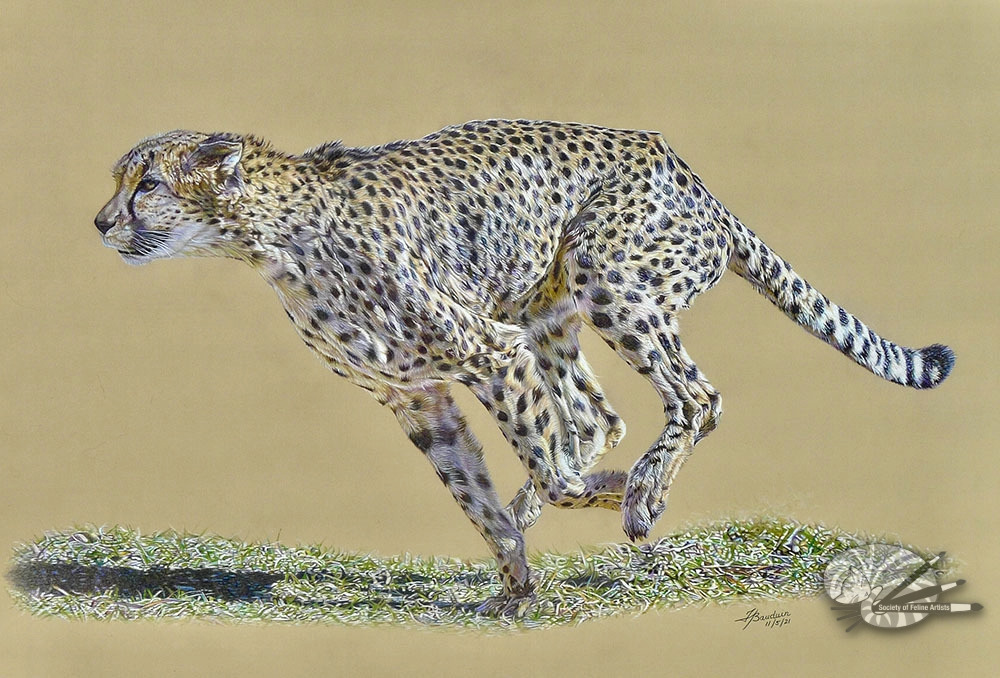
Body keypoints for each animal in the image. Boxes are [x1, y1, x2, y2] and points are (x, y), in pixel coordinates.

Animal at [95, 119, 954, 615]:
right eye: (120, 181)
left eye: (149, 184)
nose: (100, 222)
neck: (270, 237)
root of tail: (690, 174)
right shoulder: (419, 395)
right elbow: (474, 495)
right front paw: (514, 581)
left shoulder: (488, 350)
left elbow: (553, 468)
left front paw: (608, 502)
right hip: (550, 312)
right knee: (600, 415)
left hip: (607, 280)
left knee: (696, 398)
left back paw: (643, 495)